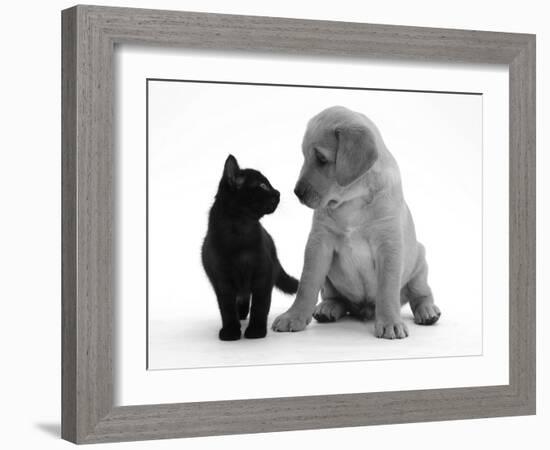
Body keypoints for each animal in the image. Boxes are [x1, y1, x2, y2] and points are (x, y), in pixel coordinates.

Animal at [203, 155, 300, 342]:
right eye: (262, 185)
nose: (278, 192)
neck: (241, 230)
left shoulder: (263, 275)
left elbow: (260, 305)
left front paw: (256, 331)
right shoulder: (222, 280)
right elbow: (226, 308)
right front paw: (231, 331)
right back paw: (240, 315)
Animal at [274, 105, 442, 338]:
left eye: (321, 159)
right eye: (304, 156)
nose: (297, 192)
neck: (353, 200)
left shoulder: (388, 245)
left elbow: (387, 289)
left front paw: (390, 322)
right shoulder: (319, 243)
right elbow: (307, 284)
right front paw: (293, 316)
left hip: (419, 262)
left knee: (421, 294)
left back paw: (428, 311)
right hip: (330, 281)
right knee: (335, 298)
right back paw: (328, 308)